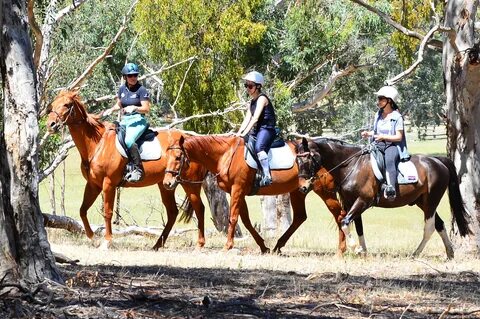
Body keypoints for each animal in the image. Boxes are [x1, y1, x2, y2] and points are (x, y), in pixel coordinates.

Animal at [45, 90, 208, 250]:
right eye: (53, 104)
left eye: (67, 104)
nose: (50, 124)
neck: (97, 144)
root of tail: (191, 139)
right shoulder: (93, 184)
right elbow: (82, 210)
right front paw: (93, 238)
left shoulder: (108, 184)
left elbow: (108, 212)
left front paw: (107, 241)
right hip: (166, 184)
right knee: (173, 212)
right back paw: (157, 245)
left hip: (190, 184)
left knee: (199, 208)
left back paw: (200, 244)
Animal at [298, 138, 470, 260]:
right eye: (297, 161)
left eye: (307, 159)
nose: (302, 187)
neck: (352, 165)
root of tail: (438, 161)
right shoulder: (351, 202)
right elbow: (358, 227)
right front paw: (363, 251)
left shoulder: (363, 201)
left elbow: (345, 222)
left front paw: (356, 249)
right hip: (422, 202)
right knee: (439, 224)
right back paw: (449, 253)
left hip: (431, 201)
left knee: (430, 227)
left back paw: (415, 253)